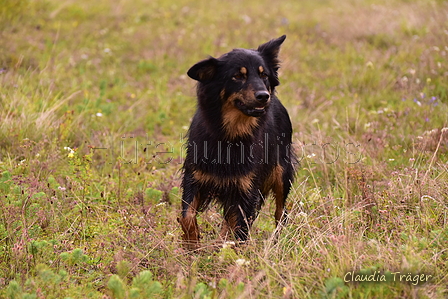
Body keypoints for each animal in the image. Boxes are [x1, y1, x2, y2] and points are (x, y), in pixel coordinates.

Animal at [180, 35, 296, 251]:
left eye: (264, 75)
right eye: (237, 76)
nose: (264, 96)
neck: (231, 134)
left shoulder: (247, 187)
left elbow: (240, 229)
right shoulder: (195, 177)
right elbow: (187, 216)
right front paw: (192, 243)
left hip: (281, 173)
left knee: (280, 213)